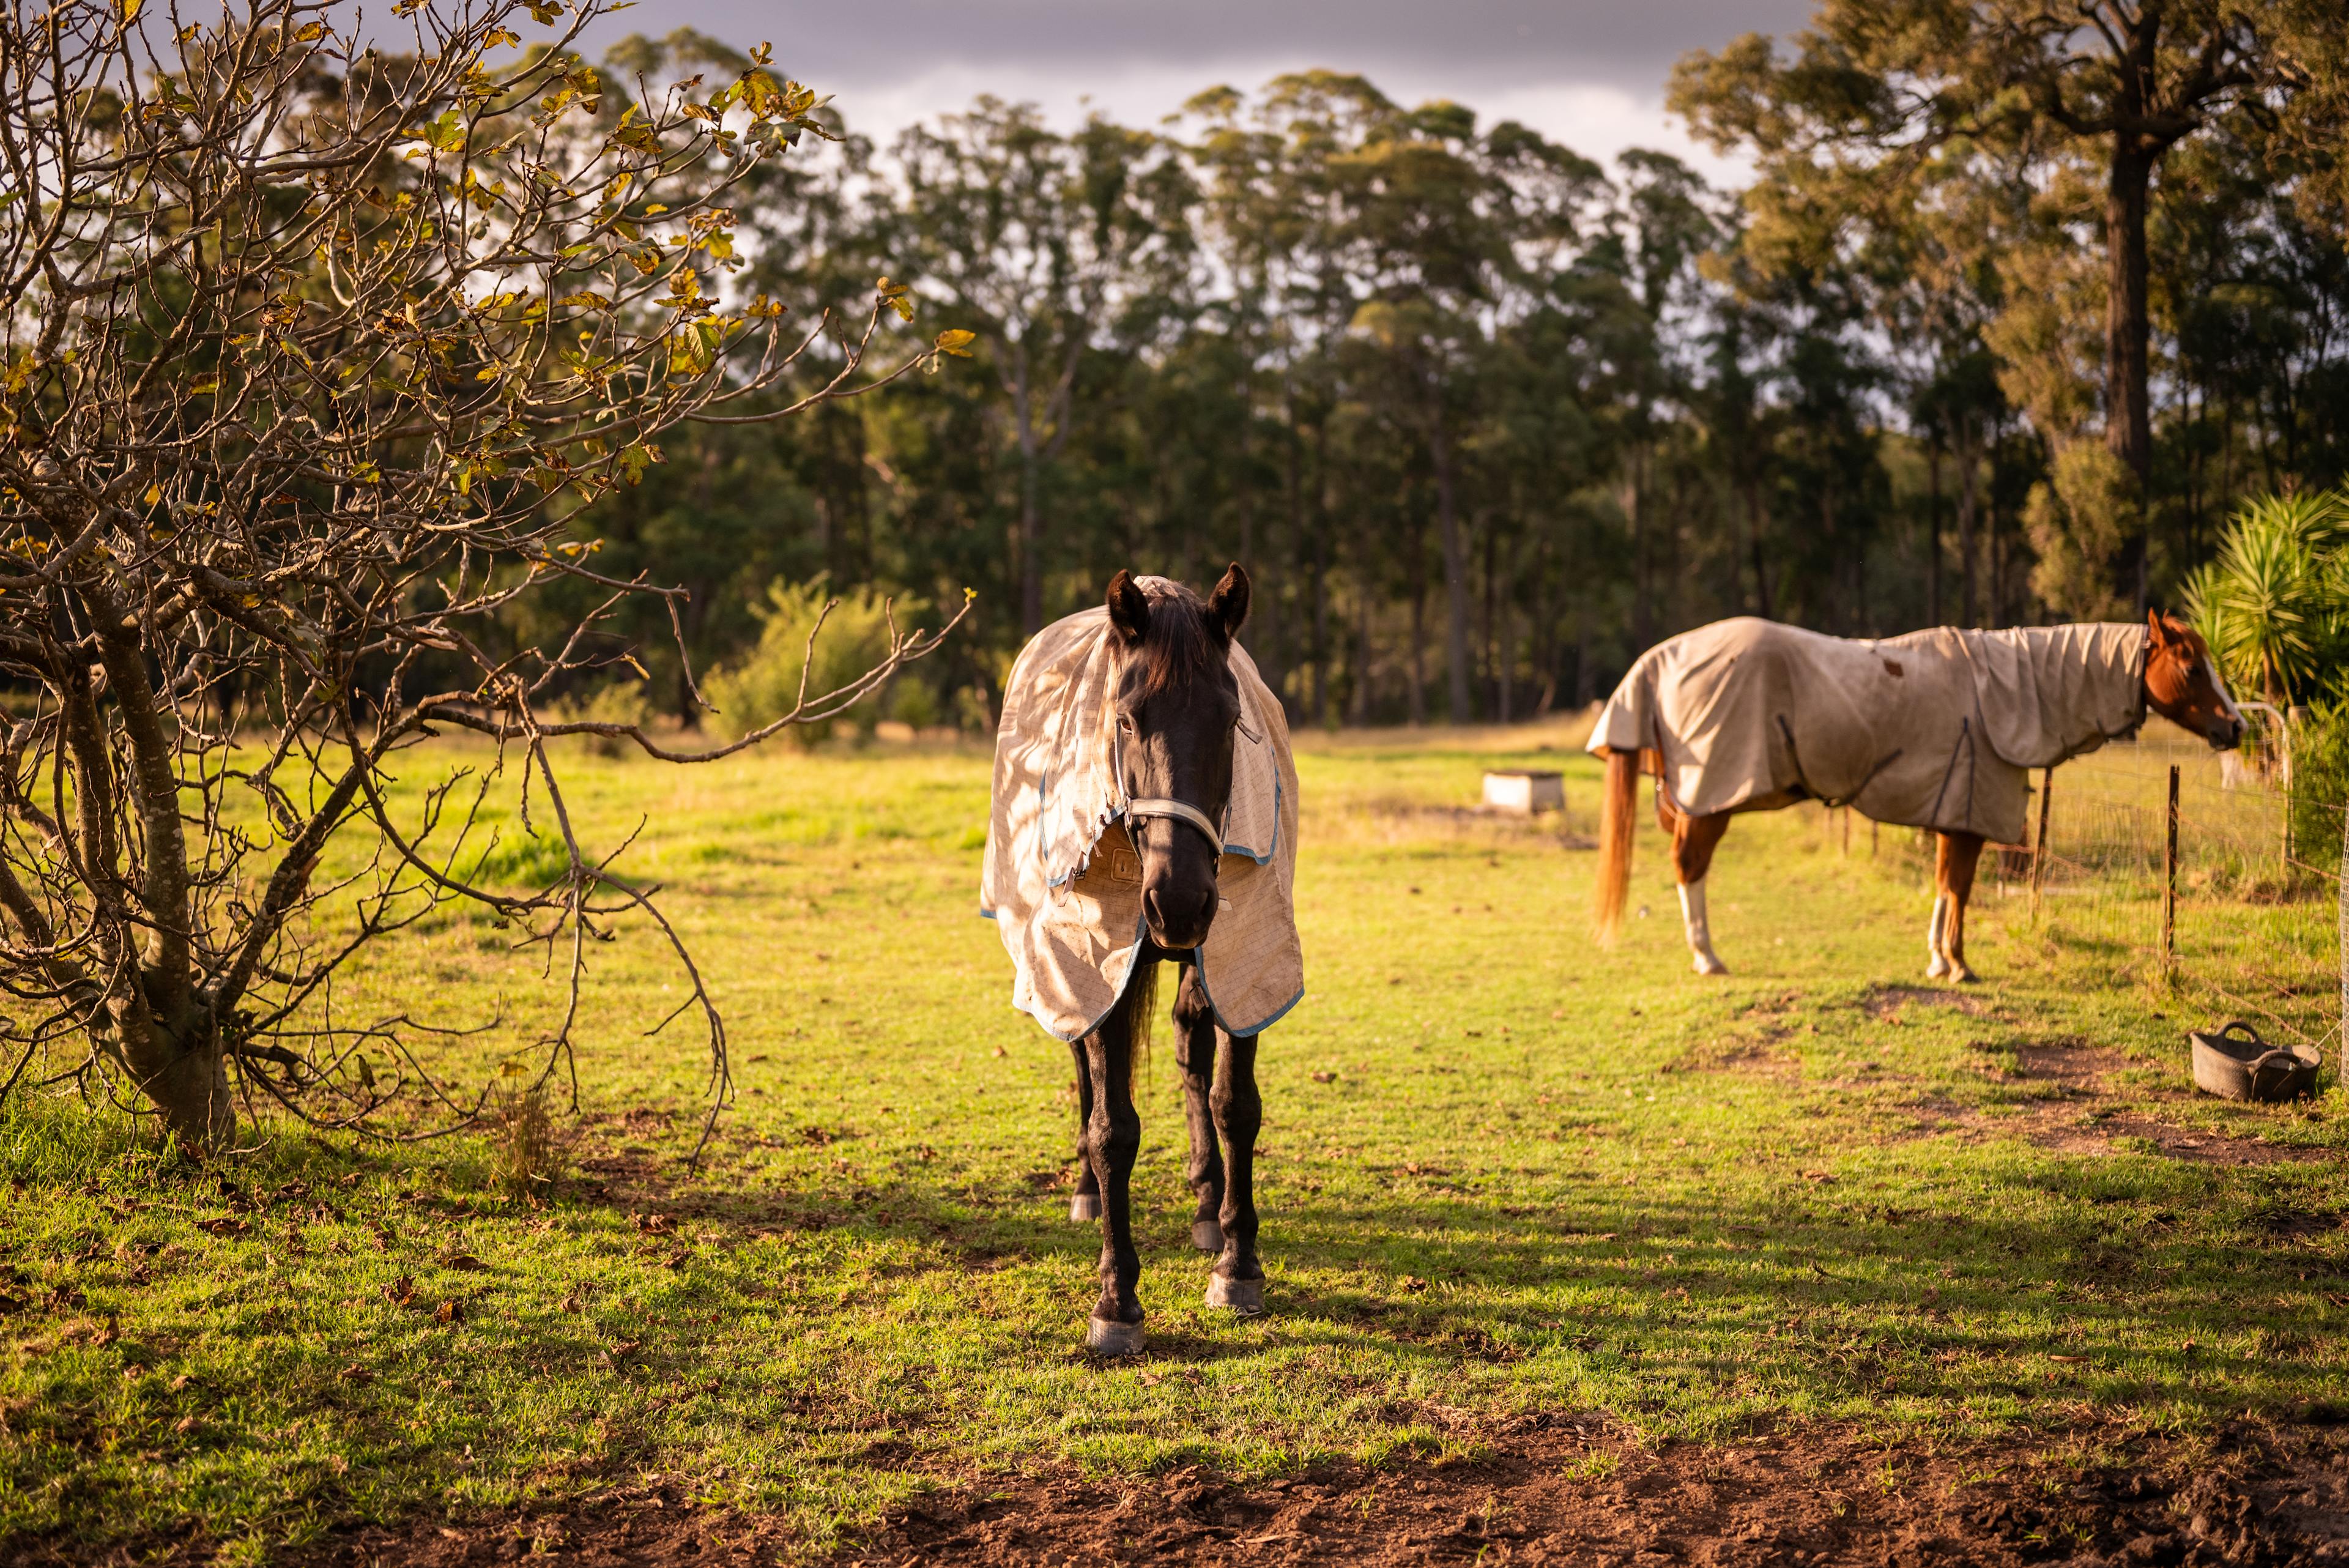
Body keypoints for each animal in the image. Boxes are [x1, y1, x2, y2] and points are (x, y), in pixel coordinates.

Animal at [981, 566, 1303, 1355]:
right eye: (1127, 720)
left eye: (1229, 718)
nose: (1179, 902)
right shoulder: (1099, 965)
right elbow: (1113, 1128)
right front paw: (1116, 1299)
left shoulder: (1244, 957)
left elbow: (1234, 1103)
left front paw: (1238, 1263)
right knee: (1081, 1068)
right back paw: (1087, 1193)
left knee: (1192, 1052)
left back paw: (1208, 1203)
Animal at [1591, 610, 2245, 981]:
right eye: (2192, 667)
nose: (2237, 726)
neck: (2012, 689)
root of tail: (1665, 654)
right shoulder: (1972, 817)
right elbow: (1960, 889)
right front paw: (1958, 964)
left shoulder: (1951, 812)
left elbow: (1942, 885)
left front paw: (1936, 959)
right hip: (1710, 803)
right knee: (1689, 867)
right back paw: (1707, 955)